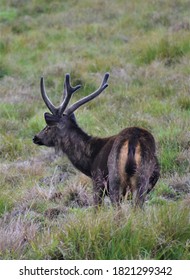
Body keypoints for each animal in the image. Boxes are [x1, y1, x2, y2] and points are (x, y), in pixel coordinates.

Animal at [33, 72, 160, 208]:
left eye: (48, 127)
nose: (35, 137)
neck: (90, 161)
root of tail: (133, 141)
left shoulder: (97, 180)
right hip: (143, 178)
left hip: (114, 178)